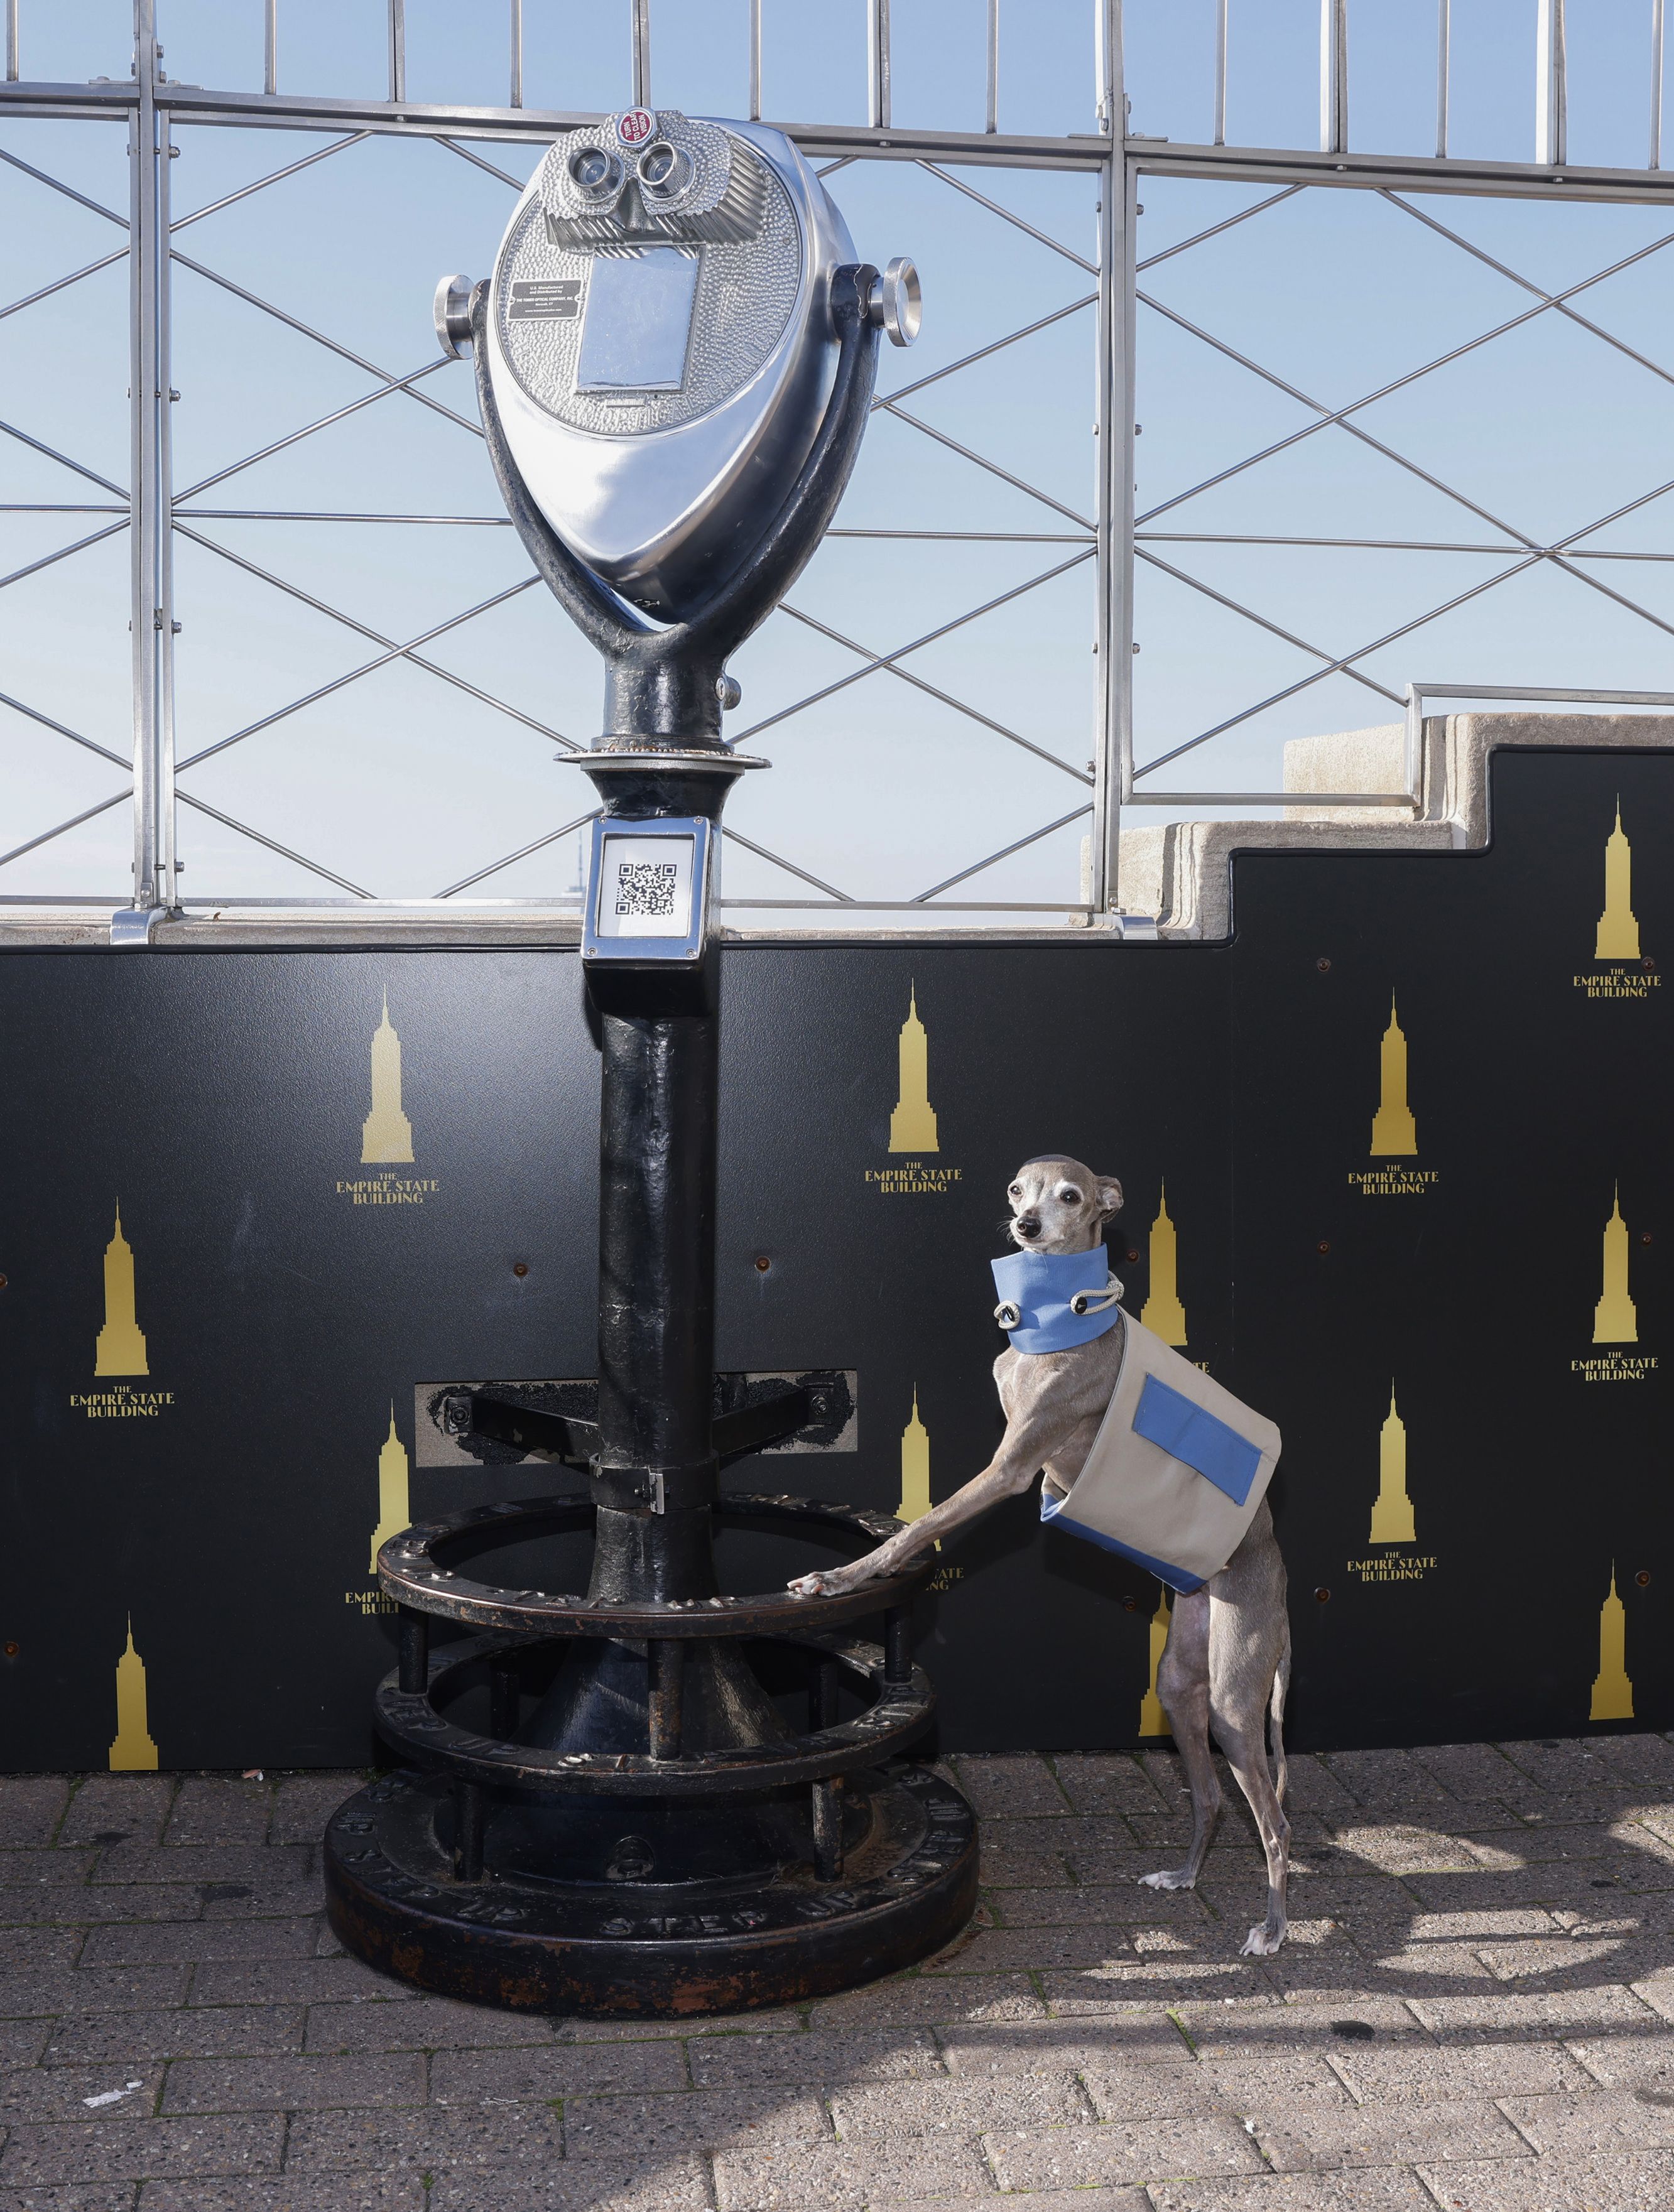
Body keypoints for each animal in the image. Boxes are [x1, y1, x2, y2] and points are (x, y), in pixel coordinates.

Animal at [787, 1159, 1291, 1955]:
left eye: (1072, 1197)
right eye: (1018, 1190)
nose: (1026, 1226)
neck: (1060, 1324)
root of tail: (1276, 1567)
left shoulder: (1009, 1470)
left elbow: (917, 1526)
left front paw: (840, 1576)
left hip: (1238, 1704)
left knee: (1274, 1824)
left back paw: (1270, 1930)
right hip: (1182, 1684)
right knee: (1210, 1797)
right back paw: (1184, 1877)